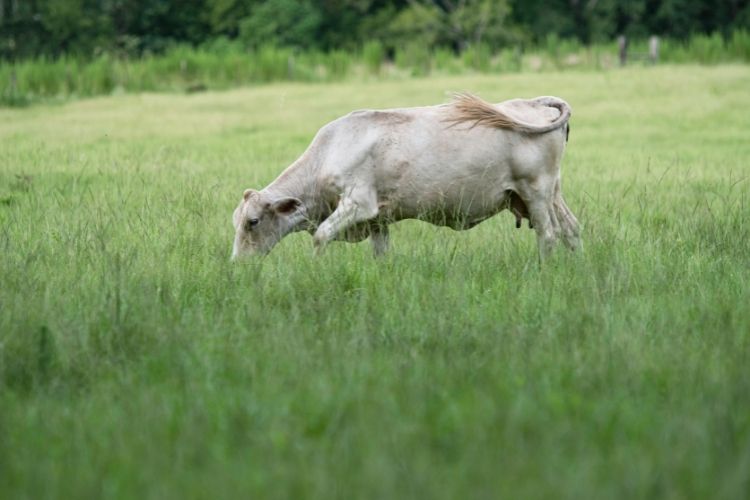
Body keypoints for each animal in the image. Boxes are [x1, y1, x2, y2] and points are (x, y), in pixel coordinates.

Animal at [232, 91, 584, 260]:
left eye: (253, 221)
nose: (238, 264)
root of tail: (535, 102)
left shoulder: (358, 204)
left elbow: (321, 236)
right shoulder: (377, 220)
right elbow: (381, 254)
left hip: (535, 191)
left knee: (548, 234)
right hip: (550, 192)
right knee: (571, 228)